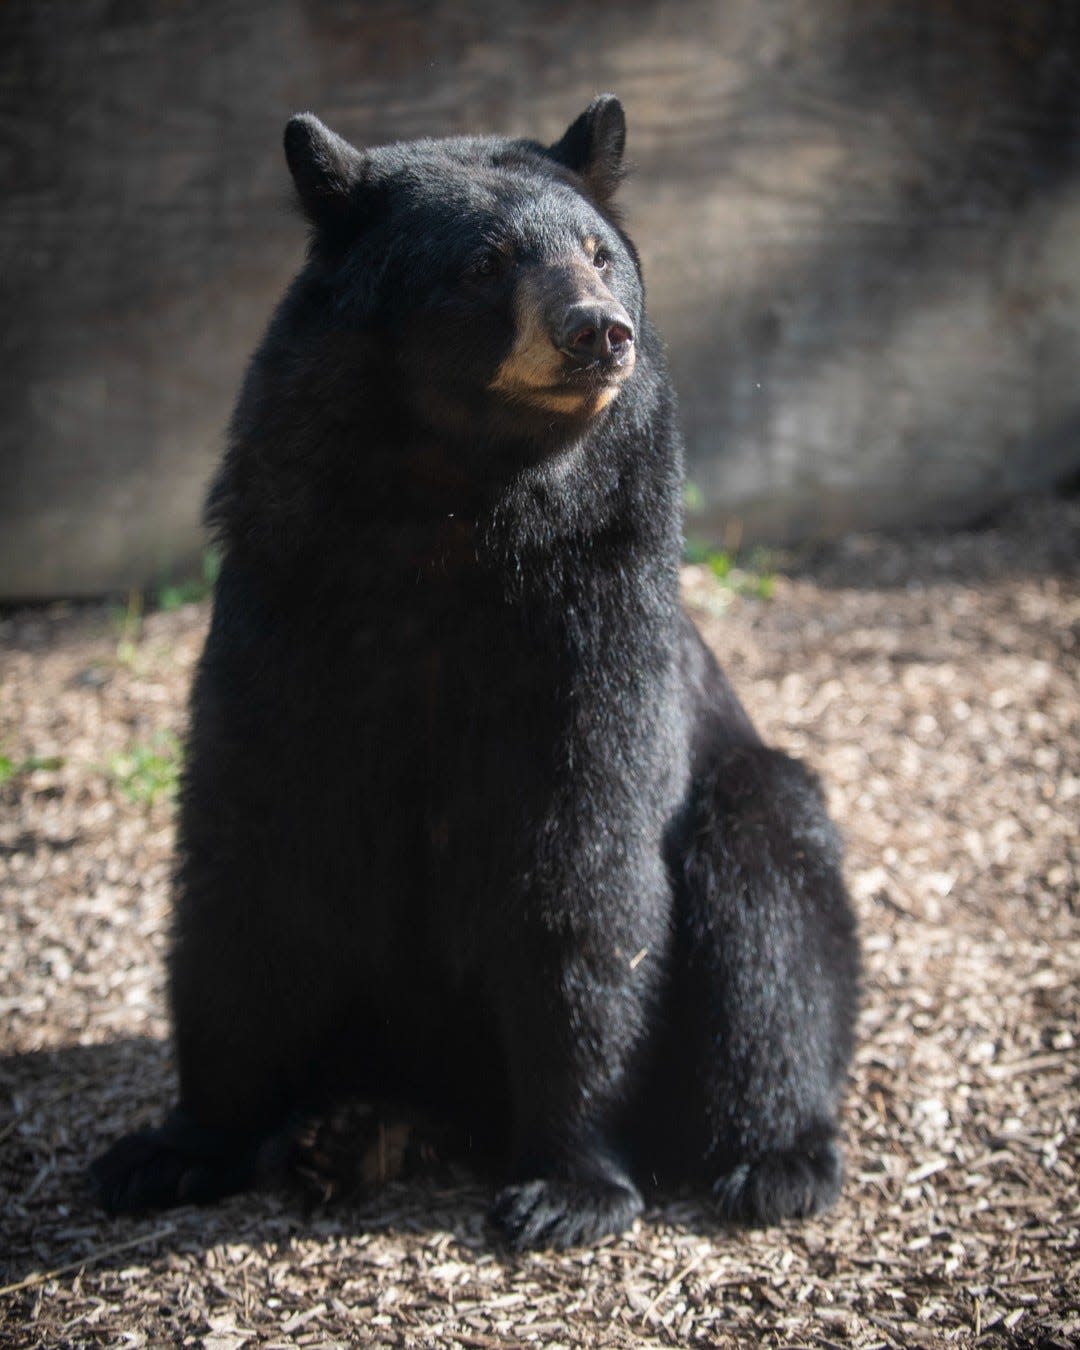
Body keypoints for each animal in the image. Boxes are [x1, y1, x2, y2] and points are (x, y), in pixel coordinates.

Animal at [97, 95, 864, 1247]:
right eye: (485, 262)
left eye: (600, 252)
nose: (599, 330)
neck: (452, 511)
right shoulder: (285, 594)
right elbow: (252, 855)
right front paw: (176, 1146)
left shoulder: (595, 621)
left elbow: (583, 867)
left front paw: (571, 1183)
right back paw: (356, 1128)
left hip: (752, 798)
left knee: (772, 919)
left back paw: (775, 1159)